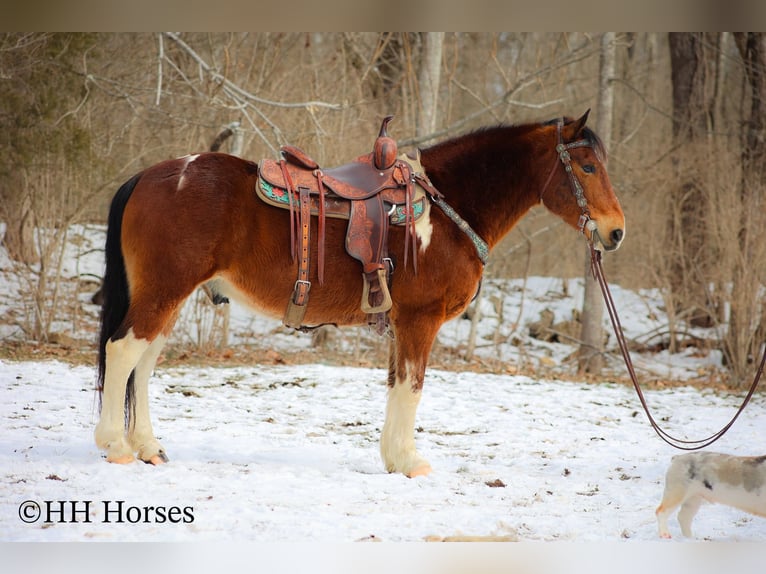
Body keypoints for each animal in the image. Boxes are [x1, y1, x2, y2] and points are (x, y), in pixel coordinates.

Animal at [94, 110, 625, 477]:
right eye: (586, 166)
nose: (616, 232)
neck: (446, 208)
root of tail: (148, 176)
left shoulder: (401, 324)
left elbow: (395, 385)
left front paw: (393, 458)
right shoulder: (419, 321)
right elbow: (412, 386)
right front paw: (410, 462)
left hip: (169, 297)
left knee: (143, 363)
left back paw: (148, 447)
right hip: (164, 291)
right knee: (123, 351)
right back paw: (116, 446)